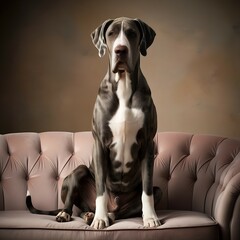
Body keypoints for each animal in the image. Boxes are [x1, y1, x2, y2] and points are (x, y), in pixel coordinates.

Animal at [26, 16, 160, 229]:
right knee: (75, 204)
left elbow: (147, 190)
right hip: (79, 171)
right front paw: (99, 218)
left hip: (154, 191)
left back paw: (107, 215)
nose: (120, 50)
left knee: (125, 209)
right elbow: (101, 190)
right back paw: (75, 214)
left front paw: (150, 218)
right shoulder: (100, 144)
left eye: (132, 33)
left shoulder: (147, 144)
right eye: (111, 33)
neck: (123, 86)